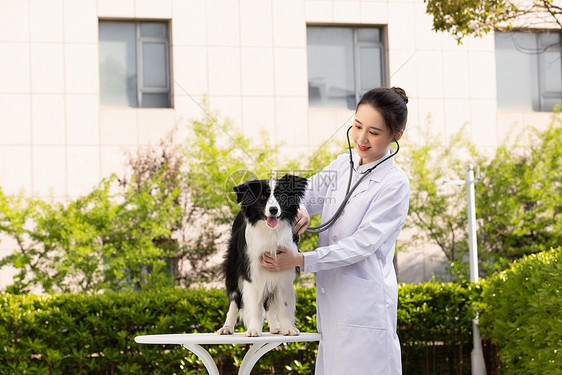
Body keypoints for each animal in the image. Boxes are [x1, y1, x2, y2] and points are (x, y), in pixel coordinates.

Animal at [218, 176, 306, 338]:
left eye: (280, 196)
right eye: (263, 197)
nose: (273, 210)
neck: (270, 231)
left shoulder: (284, 270)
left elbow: (283, 305)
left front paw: (287, 327)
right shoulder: (252, 273)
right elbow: (255, 306)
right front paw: (254, 329)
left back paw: (275, 327)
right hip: (233, 268)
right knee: (234, 299)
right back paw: (227, 327)